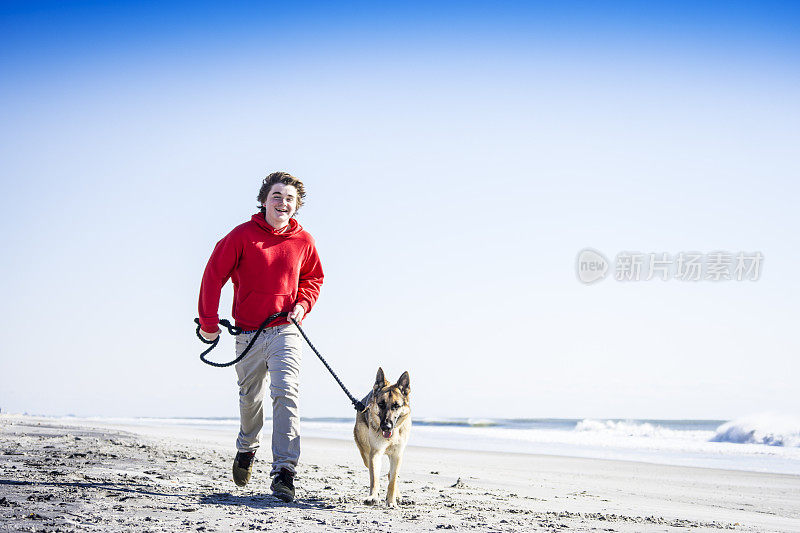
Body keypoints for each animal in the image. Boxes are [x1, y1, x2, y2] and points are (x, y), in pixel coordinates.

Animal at [354, 368, 410, 504]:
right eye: (381, 404)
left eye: (396, 406)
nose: (386, 427)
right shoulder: (375, 453)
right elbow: (375, 478)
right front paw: (373, 496)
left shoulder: (397, 455)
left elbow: (393, 482)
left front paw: (391, 501)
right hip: (366, 455)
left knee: (391, 475)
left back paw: (398, 496)